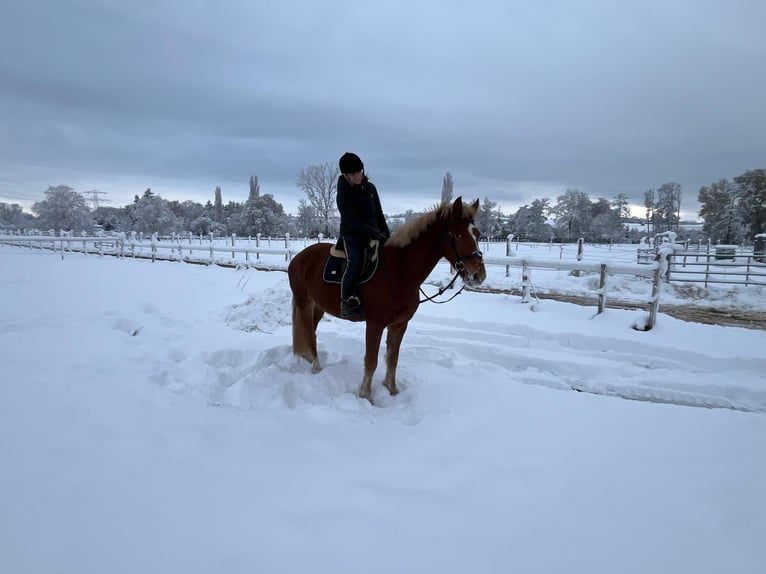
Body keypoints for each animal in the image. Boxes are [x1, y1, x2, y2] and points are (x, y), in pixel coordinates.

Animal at [288, 198, 486, 404]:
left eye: (478, 234)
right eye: (458, 234)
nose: (478, 275)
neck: (399, 270)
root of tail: (299, 258)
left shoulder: (399, 325)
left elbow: (392, 359)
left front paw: (392, 392)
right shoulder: (375, 325)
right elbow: (371, 361)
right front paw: (366, 397)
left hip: (318, 306)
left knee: (311, 330)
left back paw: (308, 359)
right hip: (304, 302)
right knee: (309, 334)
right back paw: (316, 368)